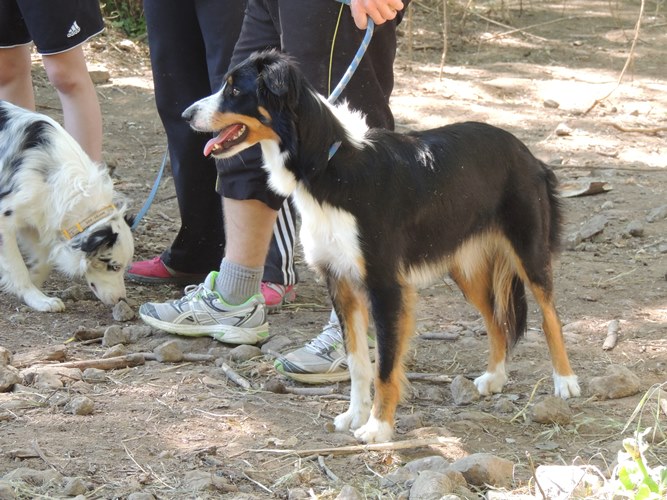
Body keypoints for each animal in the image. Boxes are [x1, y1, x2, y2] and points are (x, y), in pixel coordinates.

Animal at [0, 100, 134, 312]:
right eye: (113, 266)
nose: (122, 299)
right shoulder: (5, 218)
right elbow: (17, 267)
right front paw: (36, 298)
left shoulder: (37, 217)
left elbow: (44, 261)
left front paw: (36, 282)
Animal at [181, 50, 580, 442]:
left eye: (235, 90)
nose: (185, 115)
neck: (328, 164)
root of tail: (526, 151)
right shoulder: (339, 281)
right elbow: (358, 362)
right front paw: (354, 415)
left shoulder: (385, 285)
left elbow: (385, 365)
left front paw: (378, 427)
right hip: (464, 268)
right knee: (496, 320)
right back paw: (495, 377)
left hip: (529, 253)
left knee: (550, 316)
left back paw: (565, 382)